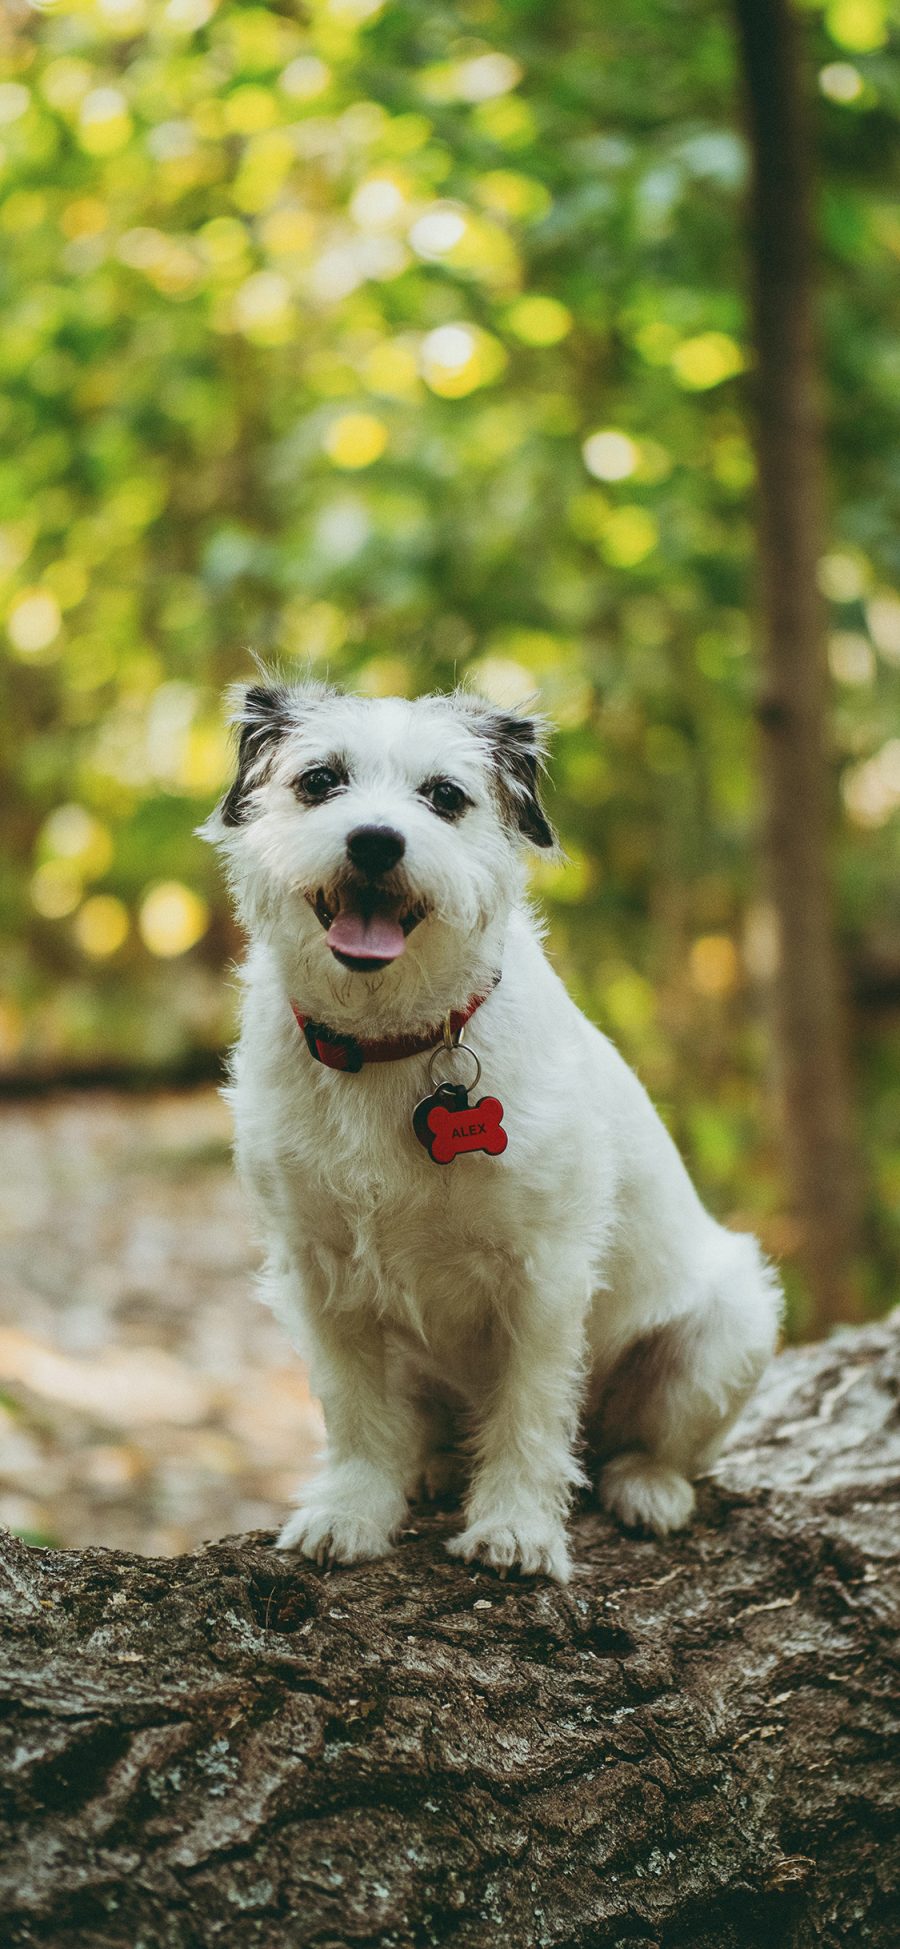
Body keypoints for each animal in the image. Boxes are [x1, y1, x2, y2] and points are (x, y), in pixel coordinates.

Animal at [203, 678, 779, 1574]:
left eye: (445, 795)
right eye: (319, 781)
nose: (375, 841)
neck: (389, 1042)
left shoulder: (545, 1275)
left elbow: (530, 1412)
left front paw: (515, 1526)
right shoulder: (321, 1273)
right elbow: (354, 1409)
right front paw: (352, 1508)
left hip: (729, 1328)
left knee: (644, 1444)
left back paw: (647, 1487)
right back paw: (434, 1466)